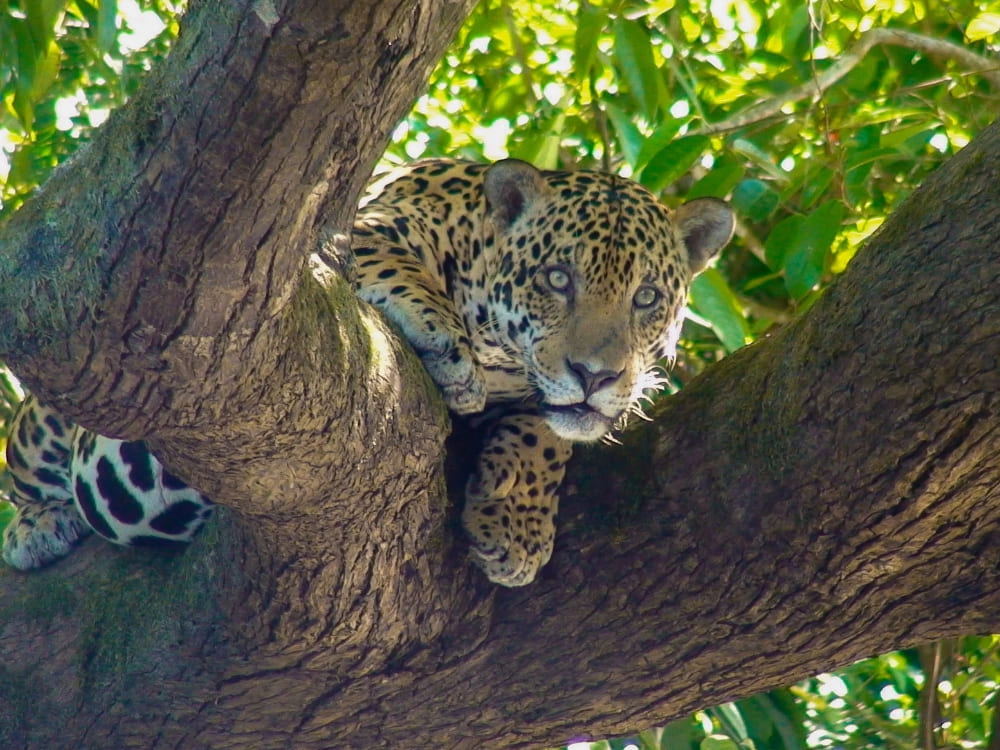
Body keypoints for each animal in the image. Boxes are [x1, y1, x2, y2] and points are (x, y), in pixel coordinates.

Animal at [2, 157, 733, 586]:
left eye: (646, 298)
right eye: (557, 278)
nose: (595, 375)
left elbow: (548, 429)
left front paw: (515, 522)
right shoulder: (348, 225)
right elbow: (390, 259)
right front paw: (444, 340)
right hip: (49, 422)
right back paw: (36, 527)